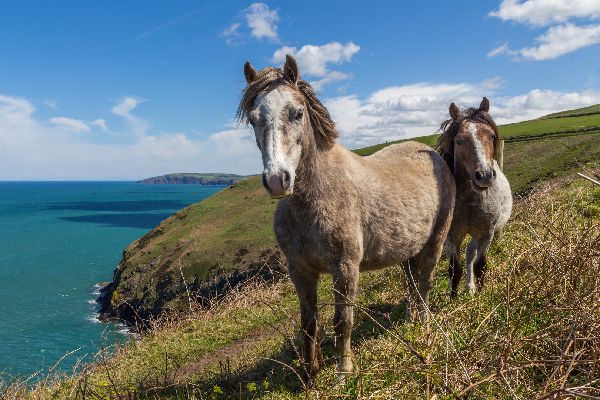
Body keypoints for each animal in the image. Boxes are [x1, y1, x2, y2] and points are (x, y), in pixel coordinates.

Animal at [239, 55, 454, 378]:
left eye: (297, 113)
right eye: (253, 119)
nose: (277, 180)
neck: (314, 200)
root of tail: (433, 154)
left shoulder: (345, 267)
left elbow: (343, 321)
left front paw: (343, 373)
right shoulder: (300, 271)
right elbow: (308, 324)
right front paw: (309, 374)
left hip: (436, 240)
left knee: (425, 282)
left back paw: (425, 324)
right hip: (407, 249)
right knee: (411, 282)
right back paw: (410, 319)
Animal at [438, 97, 512, 296]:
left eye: (491, 136)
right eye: (459, 141)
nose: (484, 175)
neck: (471, 200)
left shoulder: (486, 233)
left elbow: (480, 265)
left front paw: (480, 294)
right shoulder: (452, 237)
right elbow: (455, 270)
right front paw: (453, 298)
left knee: (471, 254)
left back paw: (470, 287)